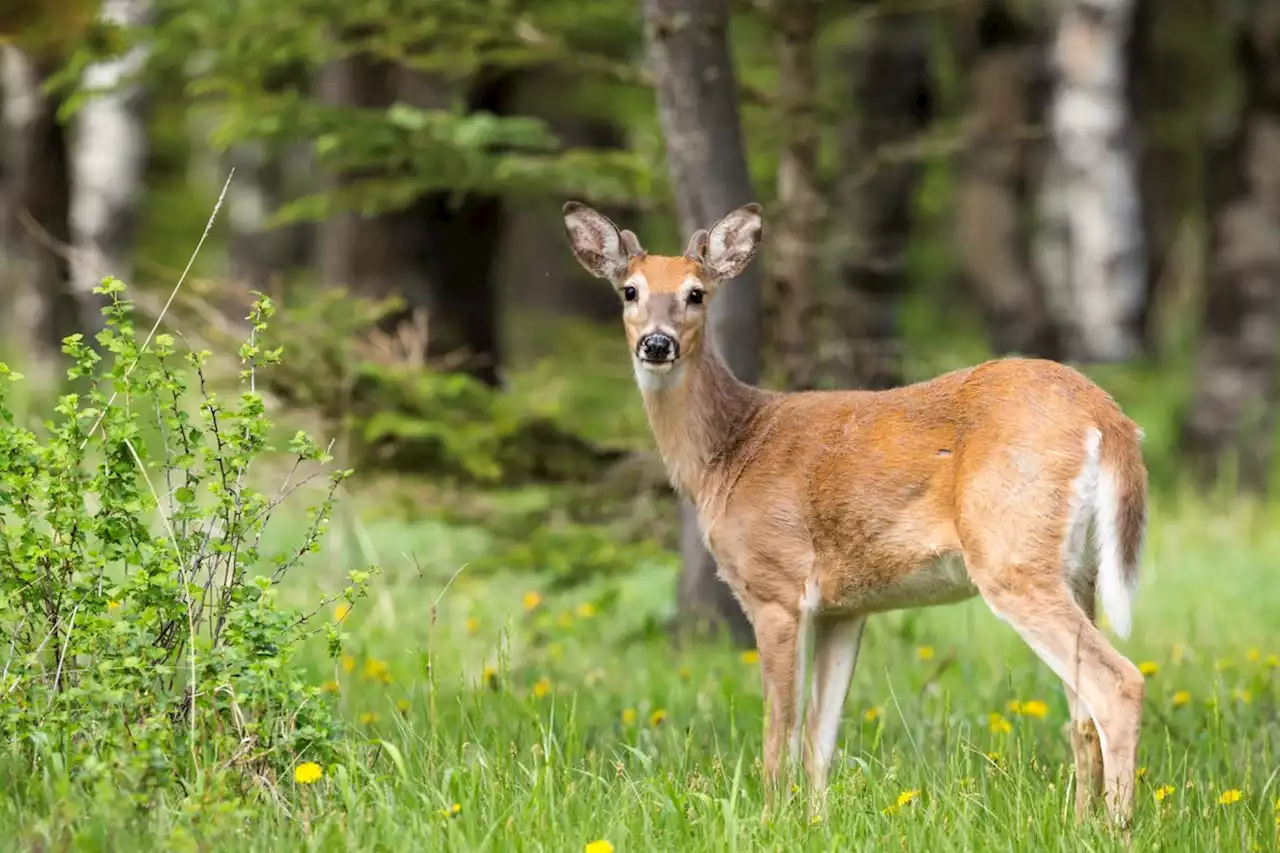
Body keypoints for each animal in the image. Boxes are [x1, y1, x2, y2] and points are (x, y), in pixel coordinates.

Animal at [560, 197, 1152, 824]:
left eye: (696, 293)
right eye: (629, 290)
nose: (656, 343)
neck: (729, 453)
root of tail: (1108, 417)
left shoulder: (776, 587)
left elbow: (779, 730)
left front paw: (770, 819)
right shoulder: (845, 608)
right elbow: (820, 737)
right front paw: (815, 823)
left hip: (1010, 553)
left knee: (1118, 684)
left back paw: (1116, 828)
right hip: (1077, 570)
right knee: (1081, 714)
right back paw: (1081, 822)